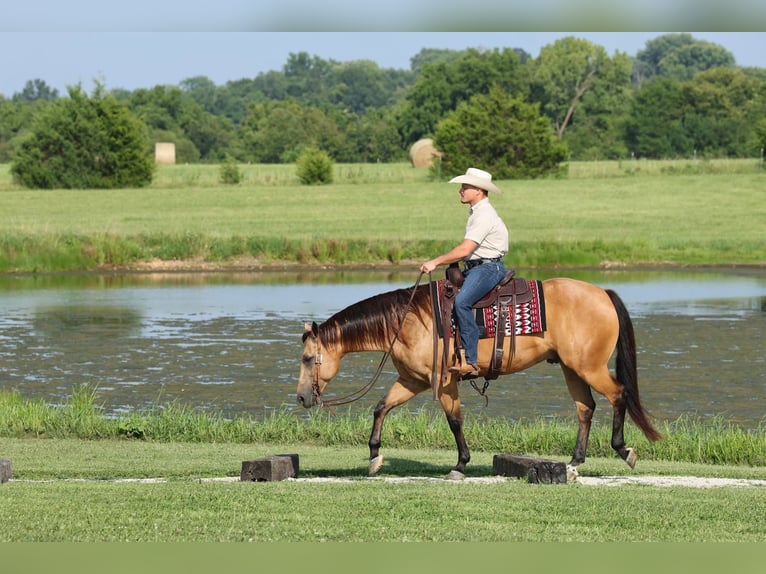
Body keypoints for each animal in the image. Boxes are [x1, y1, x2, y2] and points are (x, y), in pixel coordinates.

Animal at [296, 276, 662, 480]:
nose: (301, 397)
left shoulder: (443, 380)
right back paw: (573, 464)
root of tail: (602, 293)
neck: (407, 321)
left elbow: (454, 421)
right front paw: (374, 457)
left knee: (618, 394)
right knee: (585, 408)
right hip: (572, 368)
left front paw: (460, 465)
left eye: (307, 358)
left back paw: (623, 449)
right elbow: (380, 407)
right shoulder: (413, 381)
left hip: (590, 367)